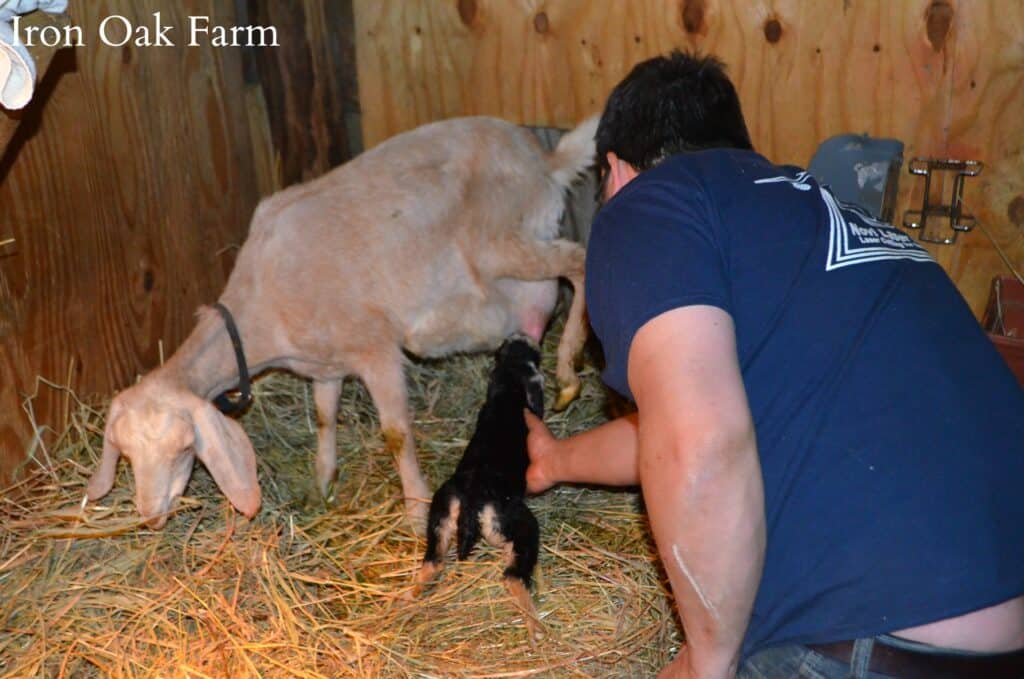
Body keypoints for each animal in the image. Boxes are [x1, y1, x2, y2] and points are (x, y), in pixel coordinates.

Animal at [84, 115, 598, 532]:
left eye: (182, 448)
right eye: (125, 454)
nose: (150, 516)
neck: (262, 305)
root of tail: (543, 158)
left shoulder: (375, 349)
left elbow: (395, 433)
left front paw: (416, 509)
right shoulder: (326, 365)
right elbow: (324, 417)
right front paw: (322, 480)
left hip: (503, 241)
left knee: (578, 263)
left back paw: (569, 370)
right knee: (541, 301)